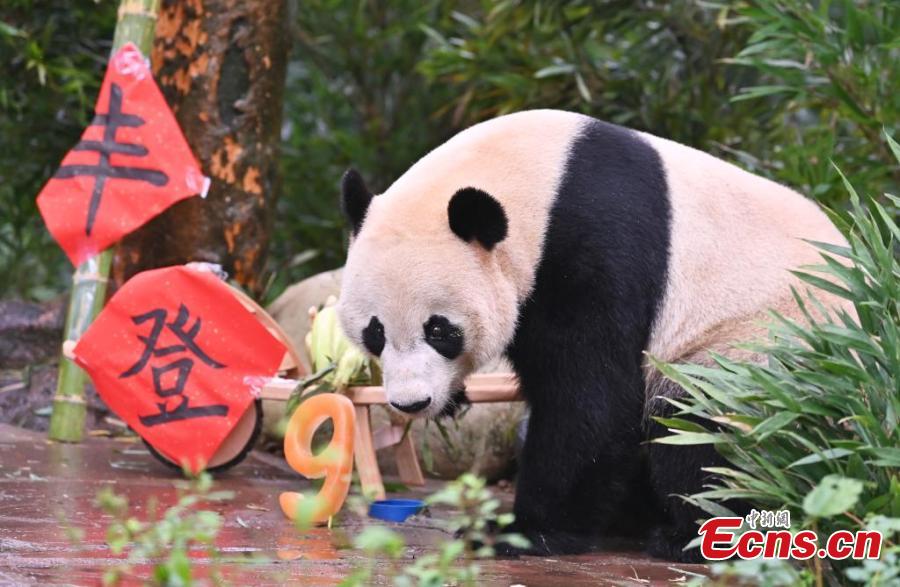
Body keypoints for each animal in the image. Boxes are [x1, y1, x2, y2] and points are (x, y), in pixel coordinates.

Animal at [336, 108, 852, 564]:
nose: (411, 402)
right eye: (375, 332)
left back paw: (691, 534)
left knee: (702, 427)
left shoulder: (595, 245)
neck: (540, 183)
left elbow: (591, 400)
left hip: (763, 341)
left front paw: (523, 533)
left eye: (440, 329)